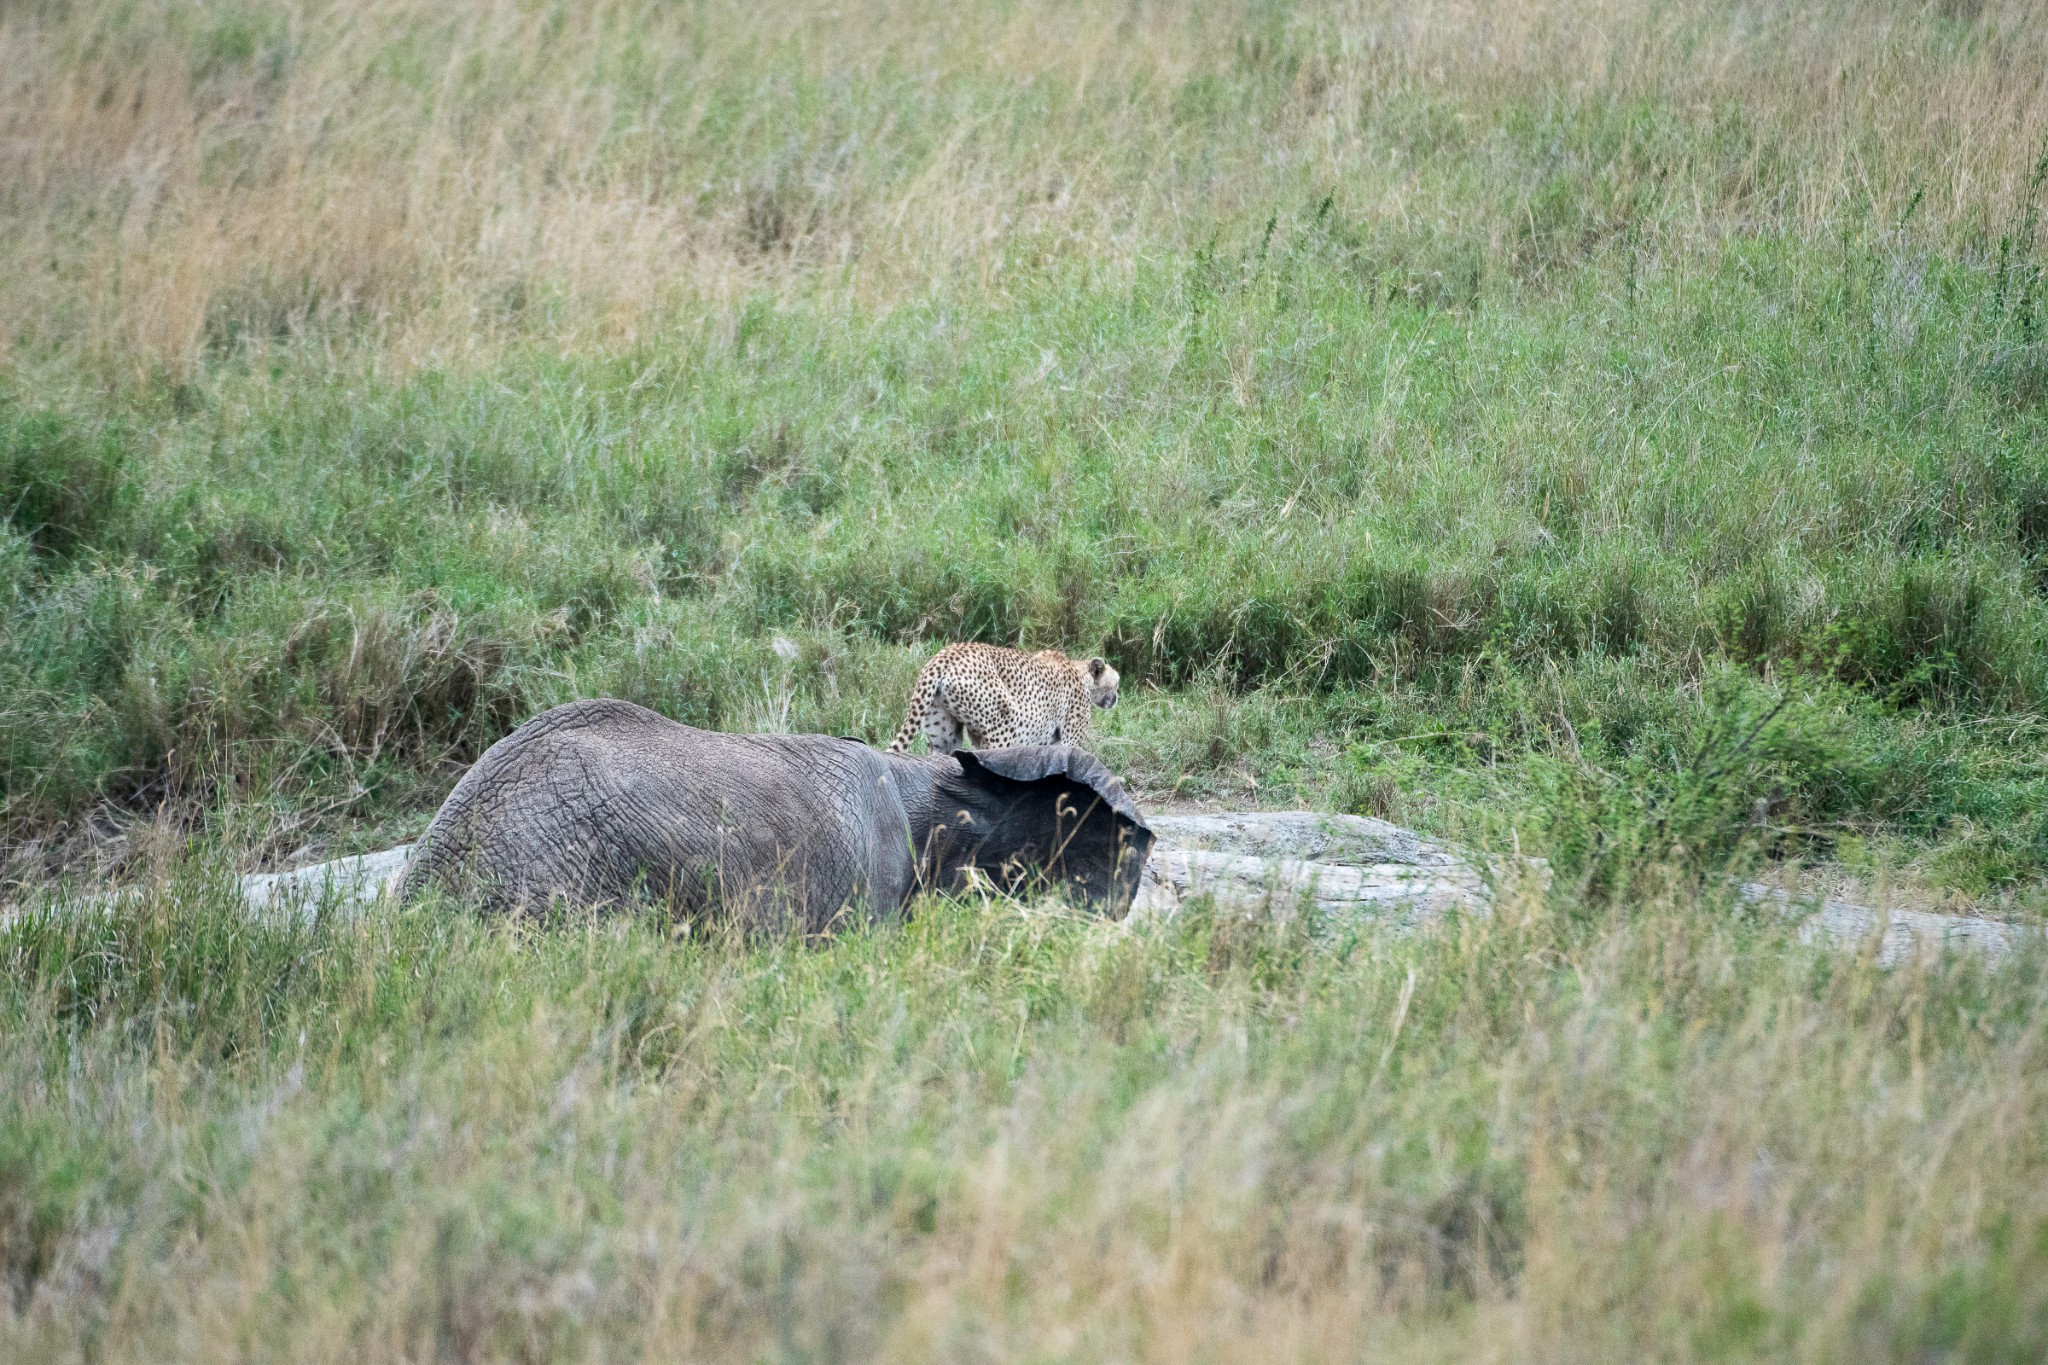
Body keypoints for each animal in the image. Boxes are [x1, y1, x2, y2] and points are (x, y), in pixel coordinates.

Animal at [888, 642, 1122, 753]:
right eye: (1117, 683)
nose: (1116, 699)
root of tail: (942, 656)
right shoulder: (1069, 740)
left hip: (943, 736)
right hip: (1005, 724)